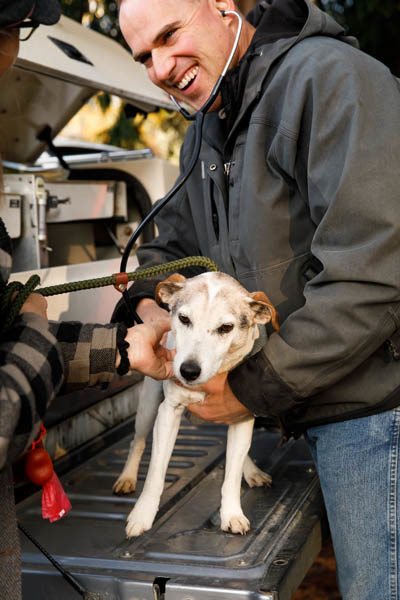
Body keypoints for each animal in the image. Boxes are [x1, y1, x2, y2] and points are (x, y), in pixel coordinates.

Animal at [114, 272, 280, 540]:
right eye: (184, 319)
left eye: (226, 328)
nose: (188, 371)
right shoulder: (168, 413)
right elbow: (155, 474)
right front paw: (142, 514)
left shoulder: (241, 417)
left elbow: (232, 476)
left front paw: (232, 514)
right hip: (148, 407)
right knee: (137, 442)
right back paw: (127, 476)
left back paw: (251, 470)